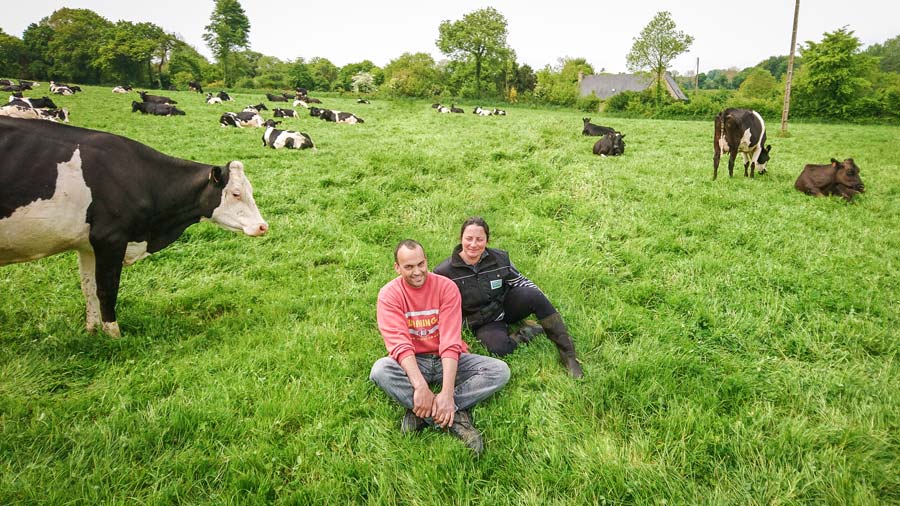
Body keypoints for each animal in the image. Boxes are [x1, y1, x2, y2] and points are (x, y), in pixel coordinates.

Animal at [0, 117, 268, 338]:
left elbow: (89, 288)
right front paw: (113, 337)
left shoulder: (87, 245)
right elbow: (107, 290)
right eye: (236, 193)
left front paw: (92, 332)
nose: (262, 226)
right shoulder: (110, 238)